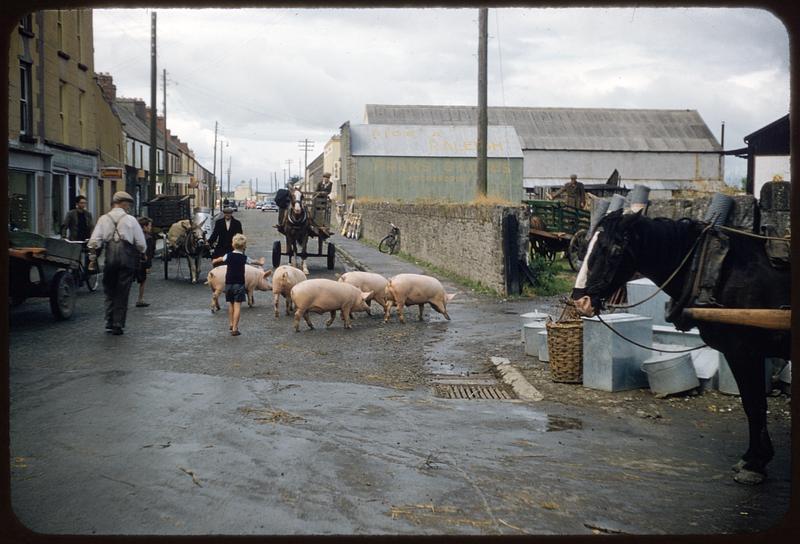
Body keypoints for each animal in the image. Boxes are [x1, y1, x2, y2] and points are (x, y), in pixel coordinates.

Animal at [572, 208, 792, 484]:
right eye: (586, 247)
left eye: (612, 250)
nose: (581, 301)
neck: (714, 268)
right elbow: (753, 404)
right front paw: (755, 458)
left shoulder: (744, 352)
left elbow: (754, 405)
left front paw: (754, 463)